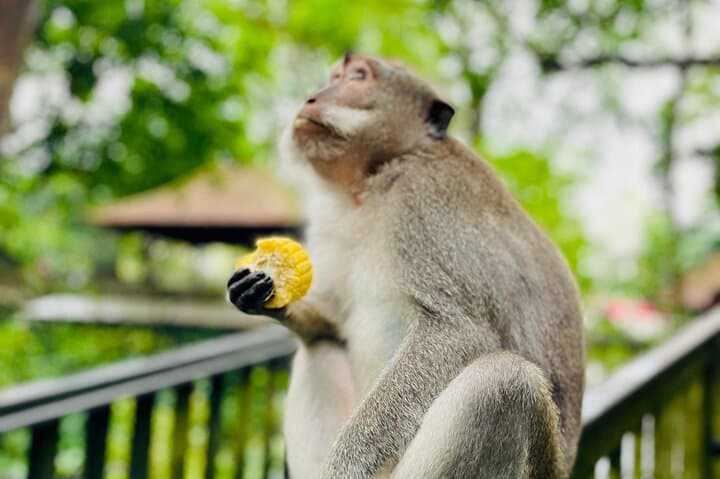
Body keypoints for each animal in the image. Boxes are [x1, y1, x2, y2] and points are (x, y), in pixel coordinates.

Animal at [227, 52, 585, 479]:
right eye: (335, 76)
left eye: (358, 76)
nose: (312, 97)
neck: (380, 177)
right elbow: (331, 323)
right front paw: (261, 290)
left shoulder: (424, 201)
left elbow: (455, 331)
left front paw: (343, 467)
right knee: (321, 347)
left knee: (503, 382)